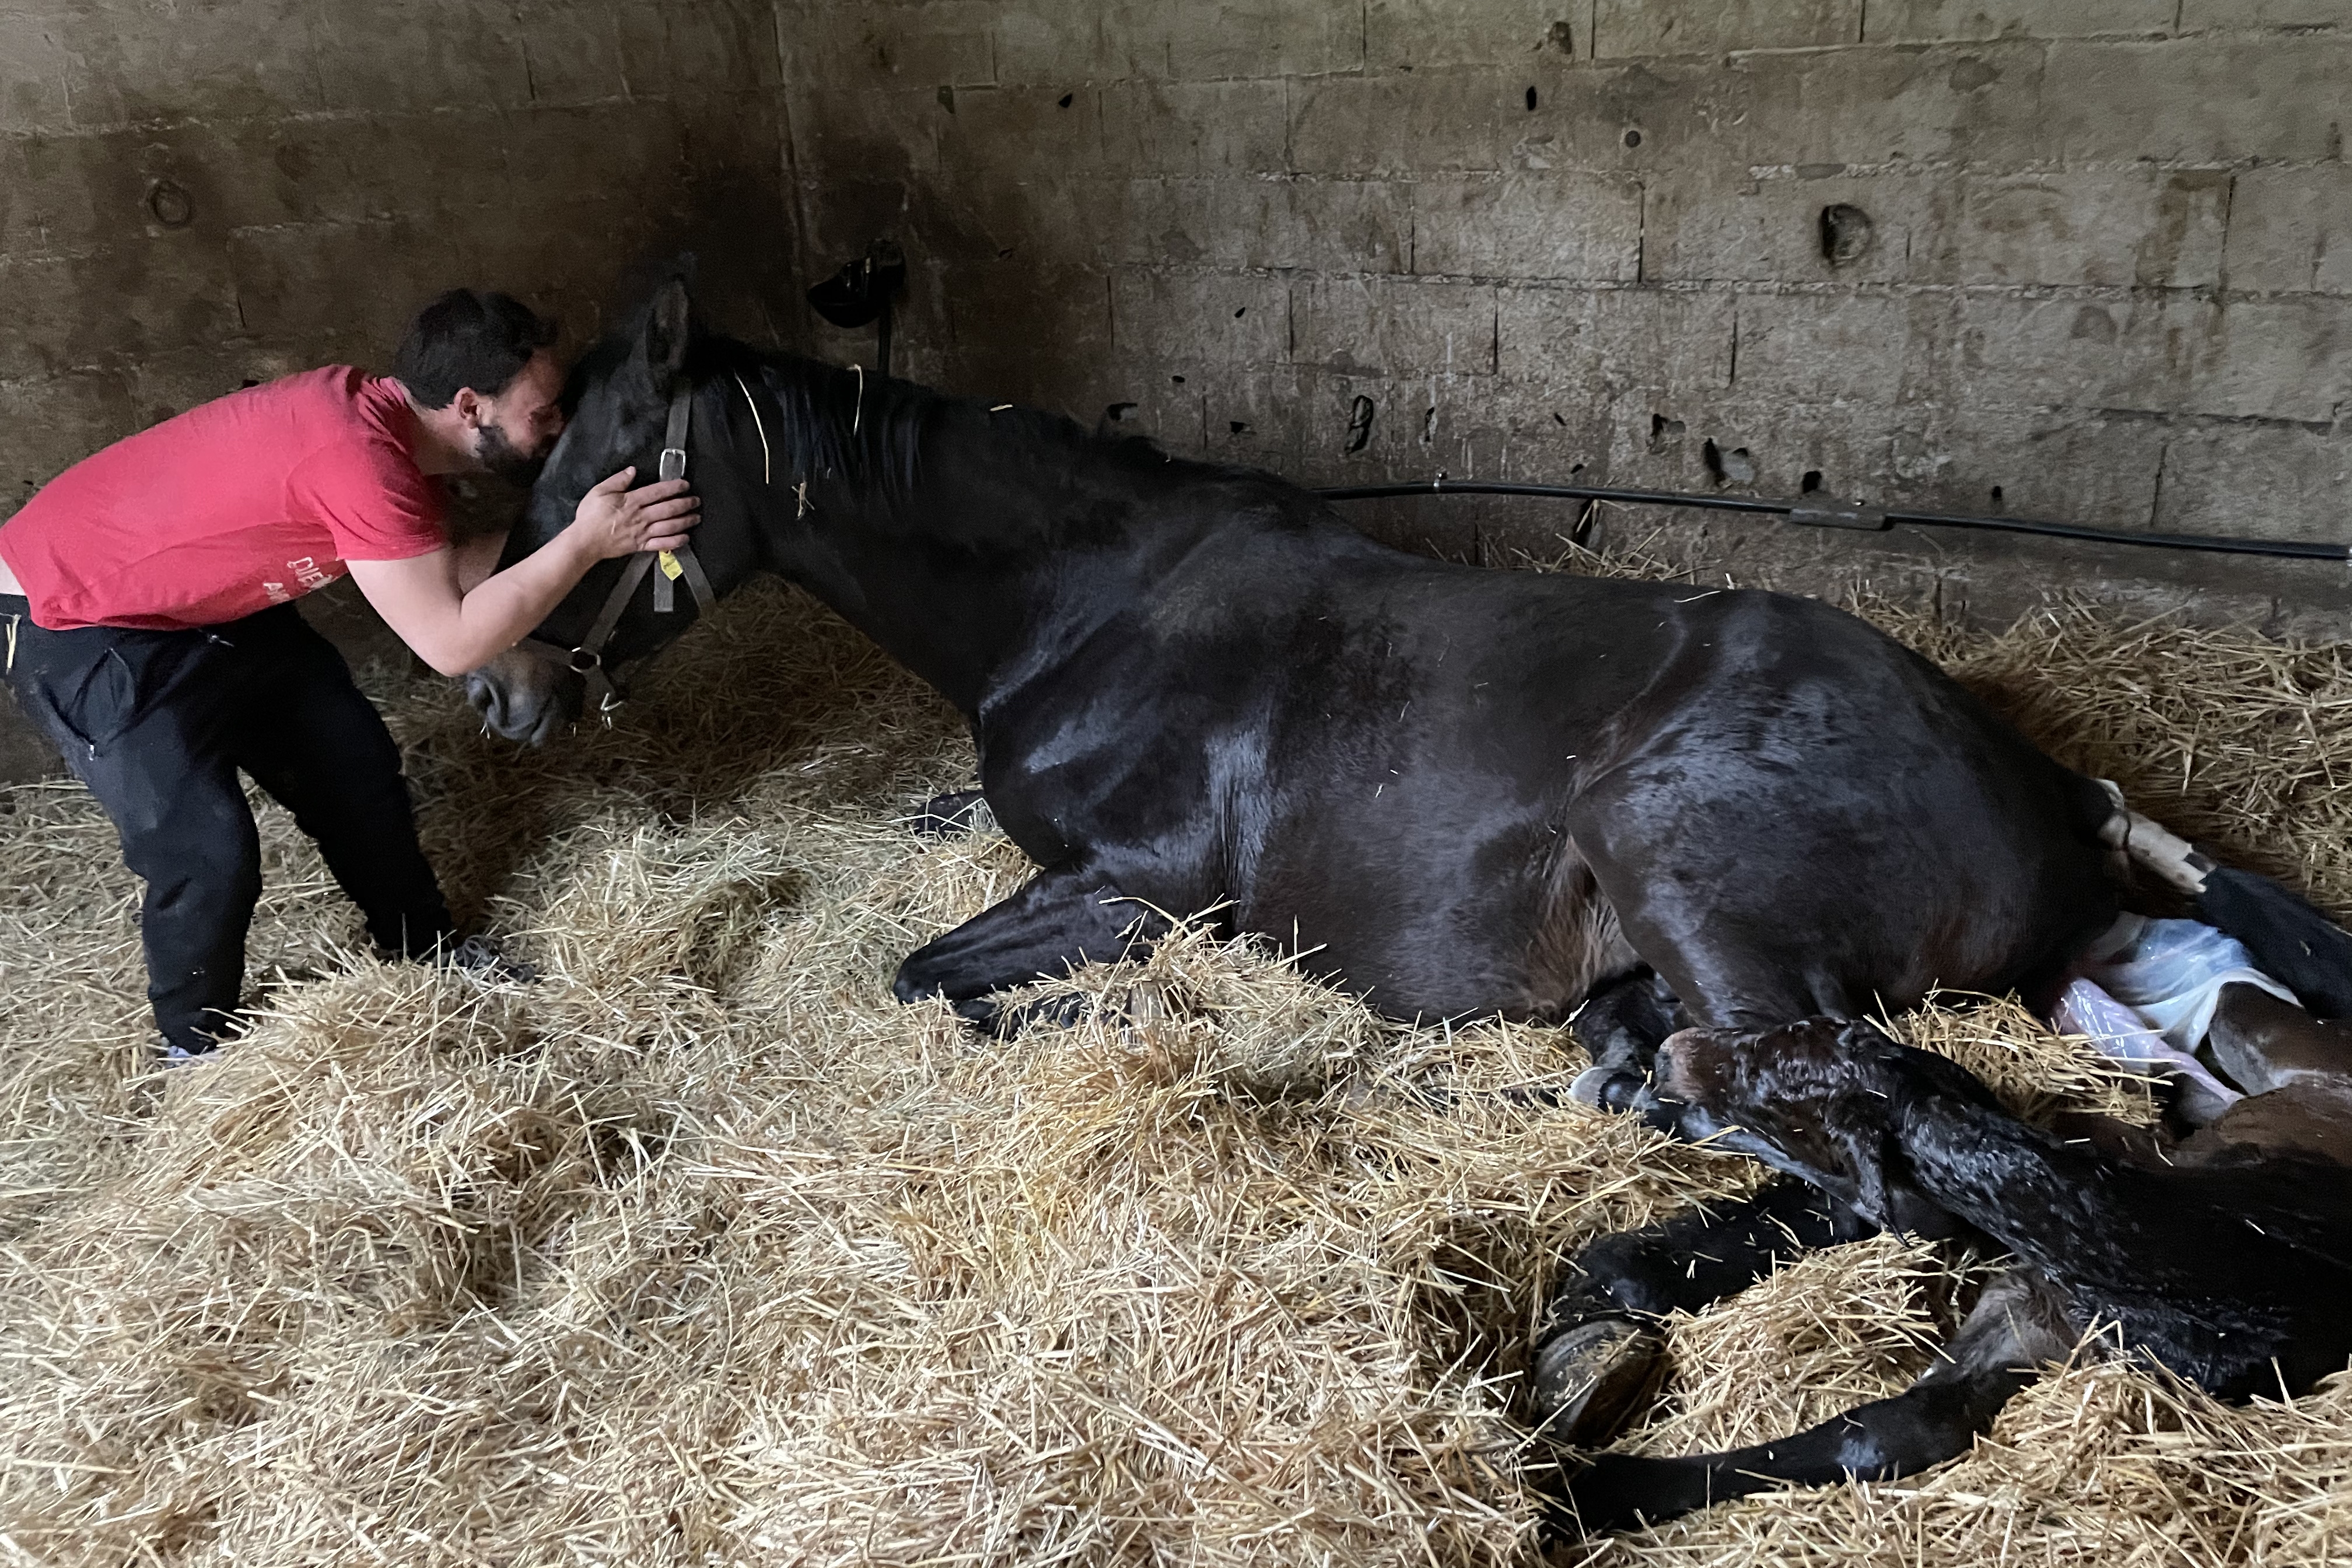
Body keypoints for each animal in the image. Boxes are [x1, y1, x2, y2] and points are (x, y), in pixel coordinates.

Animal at [1542, 1006, 2352, 1532]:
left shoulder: (2033, 1335)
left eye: (1778, 1093)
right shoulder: (2018, 1306)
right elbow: (1886, 1428)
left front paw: (1596, 1489)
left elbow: (1893, 1433)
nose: (1673, 1051)